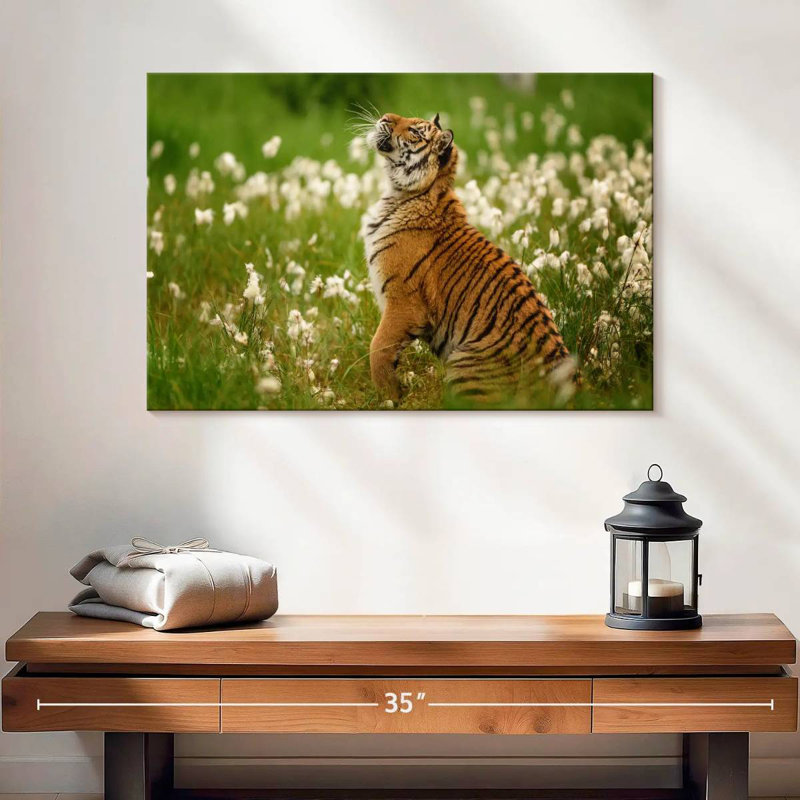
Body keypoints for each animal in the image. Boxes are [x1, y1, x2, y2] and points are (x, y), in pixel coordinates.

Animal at [363, 112, 575, 407]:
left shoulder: (404, 303)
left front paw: (388, 398)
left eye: (415, 131)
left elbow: (378, 347)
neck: (403, 194)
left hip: (463, 364)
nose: (384, 117)